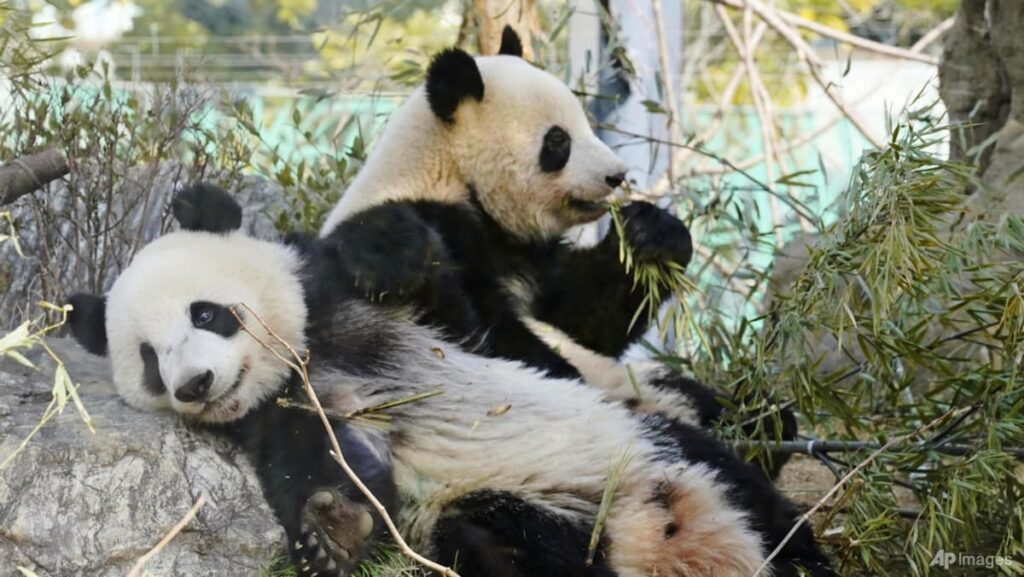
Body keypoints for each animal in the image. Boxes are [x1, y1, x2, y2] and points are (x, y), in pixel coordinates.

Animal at [67, 184, 834, 577]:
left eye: (207, 313)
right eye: (148, 359)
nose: (195, 383)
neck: (308, 358)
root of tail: (664, 535)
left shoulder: (386, 314)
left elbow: (488, 324)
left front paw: (385, 245)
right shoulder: (284, 414)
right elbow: (325, 465)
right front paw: (331, 530)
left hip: (648, 448)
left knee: (755, 501)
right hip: (543, 513)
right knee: (490, 541)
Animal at [314, 27, 795, 475]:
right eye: (558, 140)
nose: (616, 175)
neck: (451, 176)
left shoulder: (532, 256)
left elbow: (583, 319)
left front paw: (652, 233)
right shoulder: (434, 219)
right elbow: (467, 326)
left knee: (730, 407)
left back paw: (761, 427)